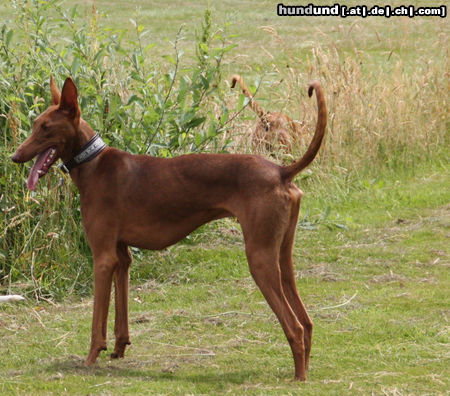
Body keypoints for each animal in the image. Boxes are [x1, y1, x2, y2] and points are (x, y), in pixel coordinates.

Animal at [11, 76, 326, 380]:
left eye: (46, 128)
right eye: (35, 125)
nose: (14, 157)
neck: (94, 162)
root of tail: (281, 171)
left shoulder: (102, 258)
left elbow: (97, 323)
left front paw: (89, 360)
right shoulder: (122, 258)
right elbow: (121, 316)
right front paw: (119, 350)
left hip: (260, 259)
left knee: (295, 327)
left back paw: (298, 378)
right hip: (282, 258)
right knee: (307, 322)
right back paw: (306, 369)